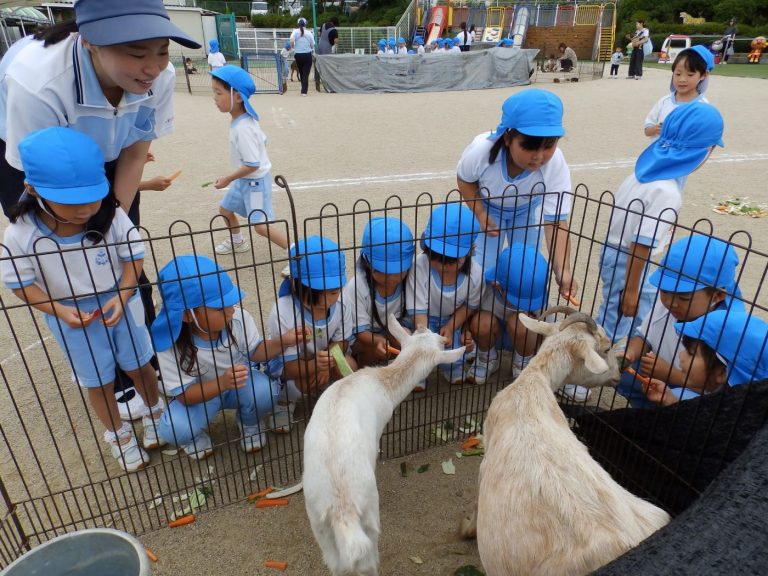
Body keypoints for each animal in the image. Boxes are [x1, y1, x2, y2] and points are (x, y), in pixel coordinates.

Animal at [304, 316, 464, 576]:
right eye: (439, 341)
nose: (443, 337)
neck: (382, 381)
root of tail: (342, 508)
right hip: (369, 514)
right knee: (369, 559)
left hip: (319, 523)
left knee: (336, 563)